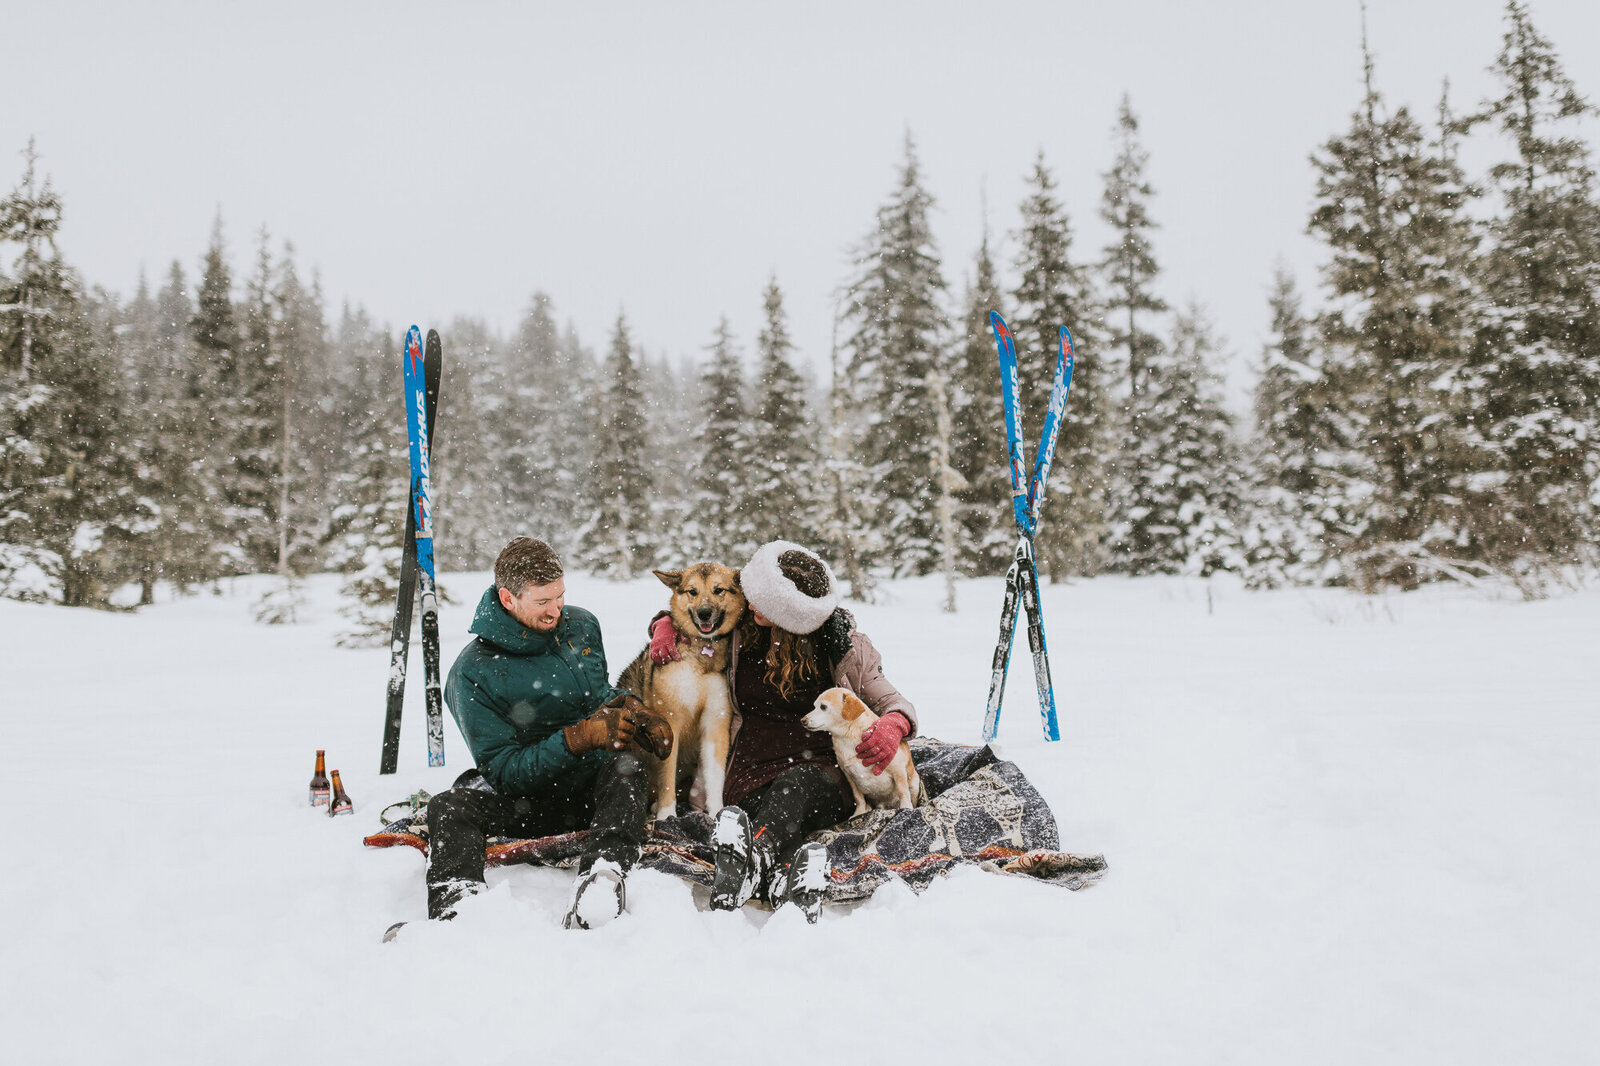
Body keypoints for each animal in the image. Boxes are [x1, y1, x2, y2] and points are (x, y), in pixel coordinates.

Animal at [614, 560, 745, 816]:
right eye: (692, 591)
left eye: (718, 590)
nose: (704, 613)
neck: (702, 652)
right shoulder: (668, 723)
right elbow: (666, 777)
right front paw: (667, 815)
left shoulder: (716, 721)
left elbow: (715, 777)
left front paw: (717, 813)